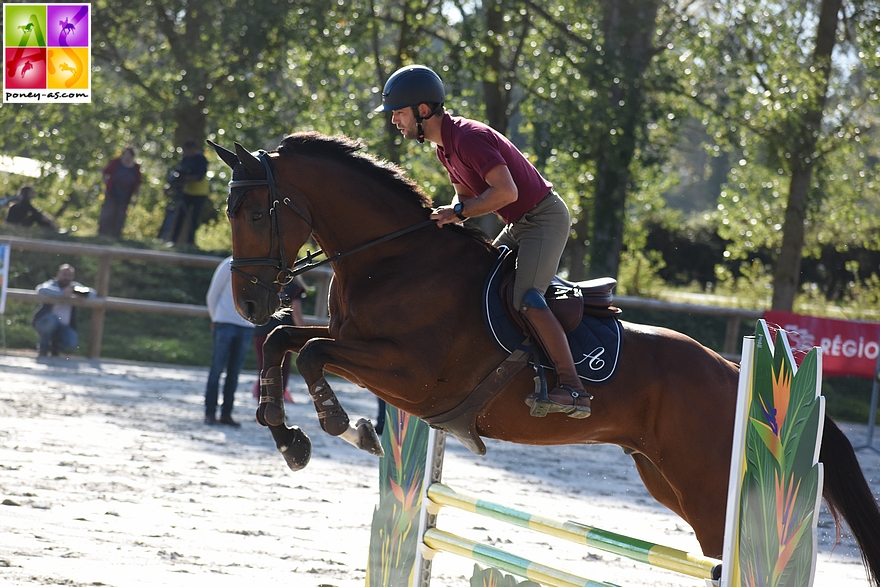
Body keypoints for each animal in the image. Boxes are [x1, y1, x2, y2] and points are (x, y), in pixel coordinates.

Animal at [211, 134, 880, 584]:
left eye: (255, 212)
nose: (247, 302)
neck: (395, 257)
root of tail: (737, 373)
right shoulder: (359, 345)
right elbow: (284, 341)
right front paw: (288, 436)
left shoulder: (410, 375)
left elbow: (311, 352)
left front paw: (341, 425)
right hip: (665, 478)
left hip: (709, 485)